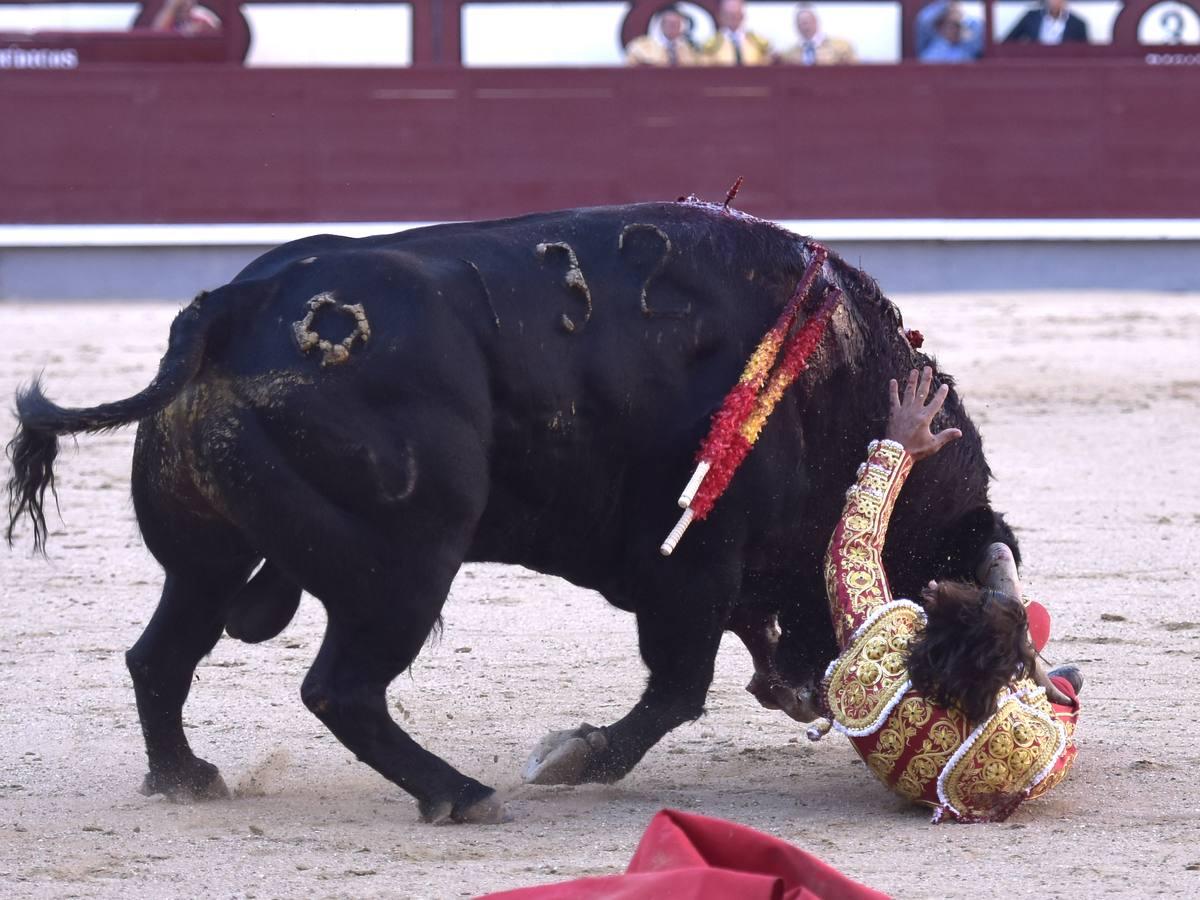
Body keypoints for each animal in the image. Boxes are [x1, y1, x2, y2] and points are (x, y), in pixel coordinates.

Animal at [4, 202, 1017, 825]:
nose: (826, 691)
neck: (833, 381)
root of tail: (233, 306)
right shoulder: (690, 564)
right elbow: (678, 687)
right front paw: (574, 757)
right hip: (404, 571)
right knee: (340, 687)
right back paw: (461, 795)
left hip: (205, 562)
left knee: (160, 656)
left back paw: (185, 780)